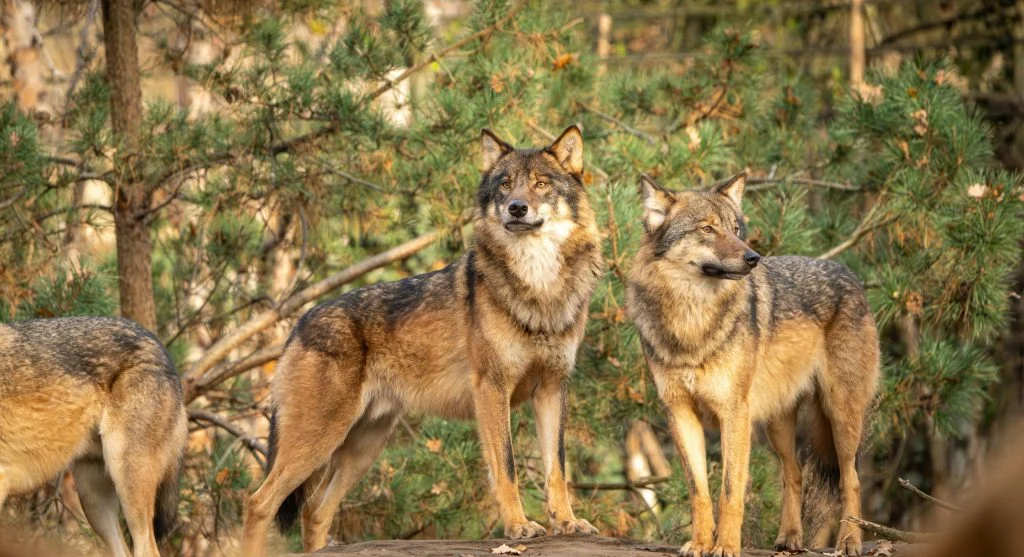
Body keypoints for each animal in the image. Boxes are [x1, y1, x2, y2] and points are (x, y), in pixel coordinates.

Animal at [240, 126, 605, 555]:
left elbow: (556, 468)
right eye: (505, 184)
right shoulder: (491, 389)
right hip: (319, 441)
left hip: (362, 448)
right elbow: (508, 467)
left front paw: (568, 522)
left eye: (541, 184)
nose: (516, 208)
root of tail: (299, 322)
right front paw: (518, 526)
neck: (540, 287)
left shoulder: (551, 387)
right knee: (259, 502)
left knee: (315, 512)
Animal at [626, 172, 880, 557]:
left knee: (851, 479)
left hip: (841, 415)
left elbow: (730, 491)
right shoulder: (680, 413)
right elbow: (699, 491)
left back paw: (850, 541)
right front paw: (700, 543)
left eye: (735, 229)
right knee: (794, 473)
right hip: (777, 424)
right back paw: (789, 538)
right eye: (707, 229)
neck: (692, 321)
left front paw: (726, 546)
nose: (753, 258)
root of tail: (849, 273)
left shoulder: (734, 414)